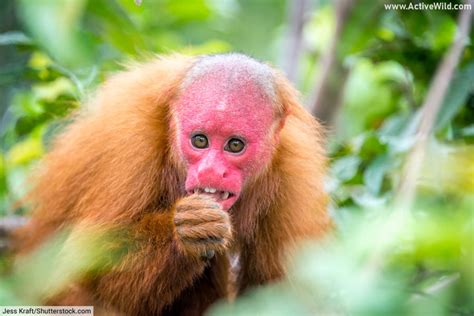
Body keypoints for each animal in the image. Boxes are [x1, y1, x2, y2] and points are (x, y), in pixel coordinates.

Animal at [13, 53, 330, 314]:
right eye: (199, 140)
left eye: (235, 145)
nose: (211, 170)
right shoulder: (130, 144)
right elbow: (87, 266)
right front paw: (187, 230)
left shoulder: (293, 174)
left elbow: (282, 296)